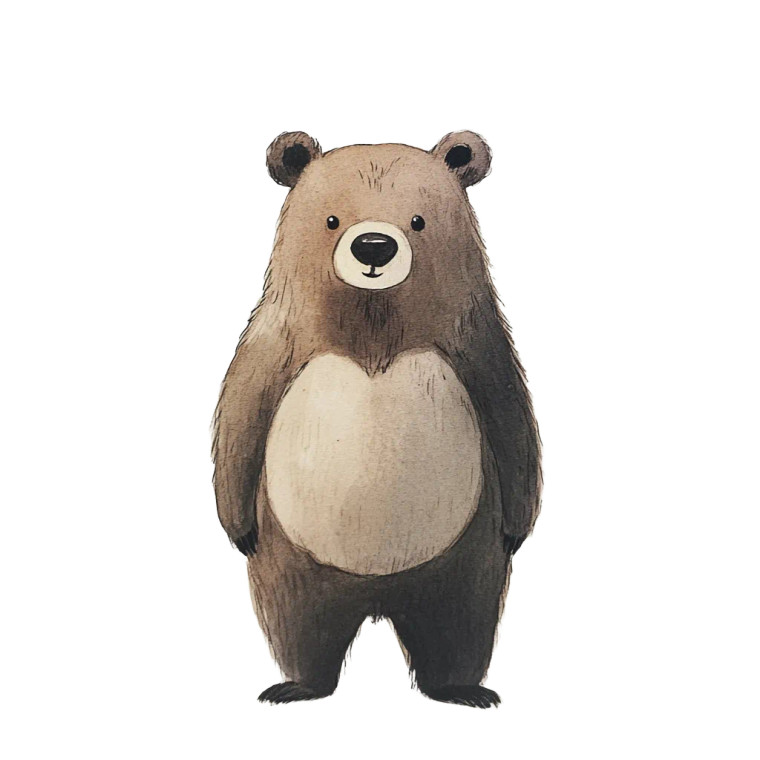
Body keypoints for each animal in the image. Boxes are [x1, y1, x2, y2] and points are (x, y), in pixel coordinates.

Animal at [212, 131, 542, 708]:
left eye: (418, 219)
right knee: (297, 620)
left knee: (460, 621)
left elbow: (512, 422)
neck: (373, 333)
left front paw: (520, 527)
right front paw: (235, 527)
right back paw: (296, 685)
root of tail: (378, 598)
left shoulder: (478, 346)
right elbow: (240, 412)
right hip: (295, 553)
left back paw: (462, 689)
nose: (373, 246)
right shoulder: (275, 342)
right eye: (331, 219)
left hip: (461, 553)